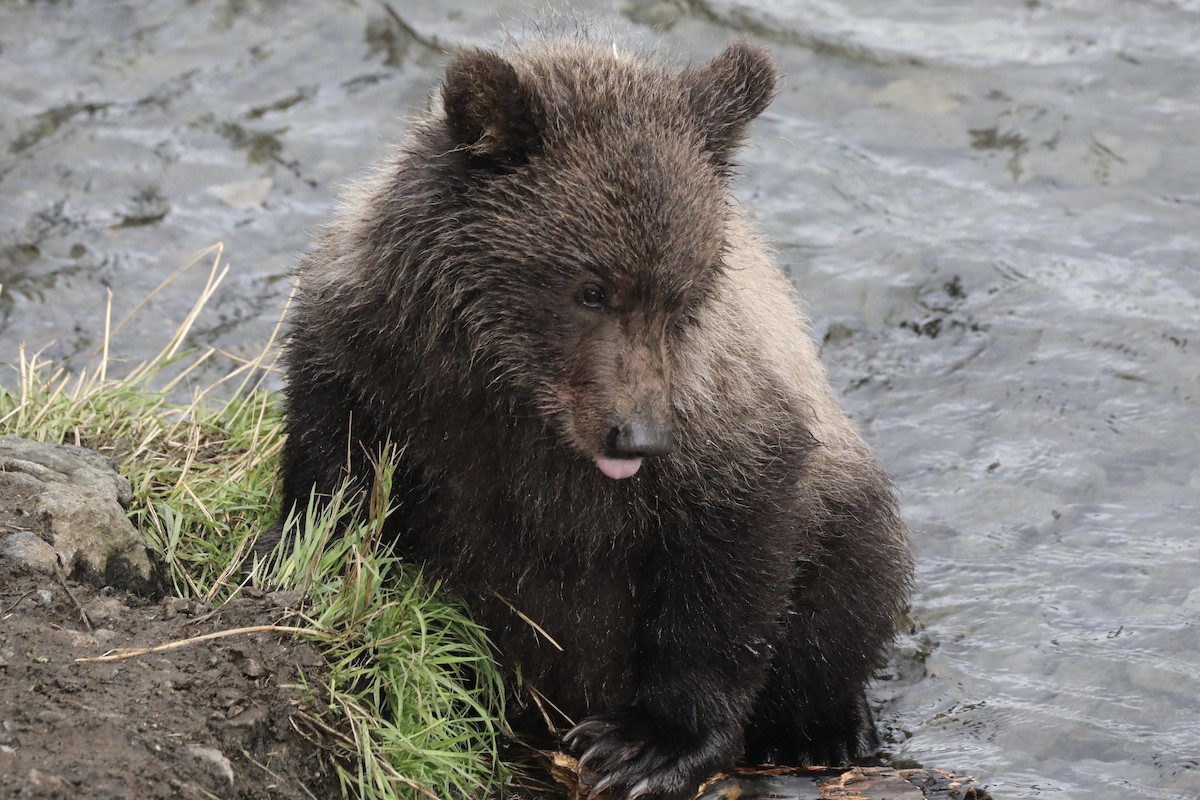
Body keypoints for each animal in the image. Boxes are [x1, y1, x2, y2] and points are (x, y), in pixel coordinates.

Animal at [265, 29, 913, 800]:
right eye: (591, 287)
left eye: (684, 291)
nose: (638, 436)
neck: (507, 387)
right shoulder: (375, 359)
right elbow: (336, 474)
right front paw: (293, 565)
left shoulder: (722, 422)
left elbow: (730, 568)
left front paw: (647, 746)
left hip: (844, 517)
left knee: (851, 584)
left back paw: (831, 728)